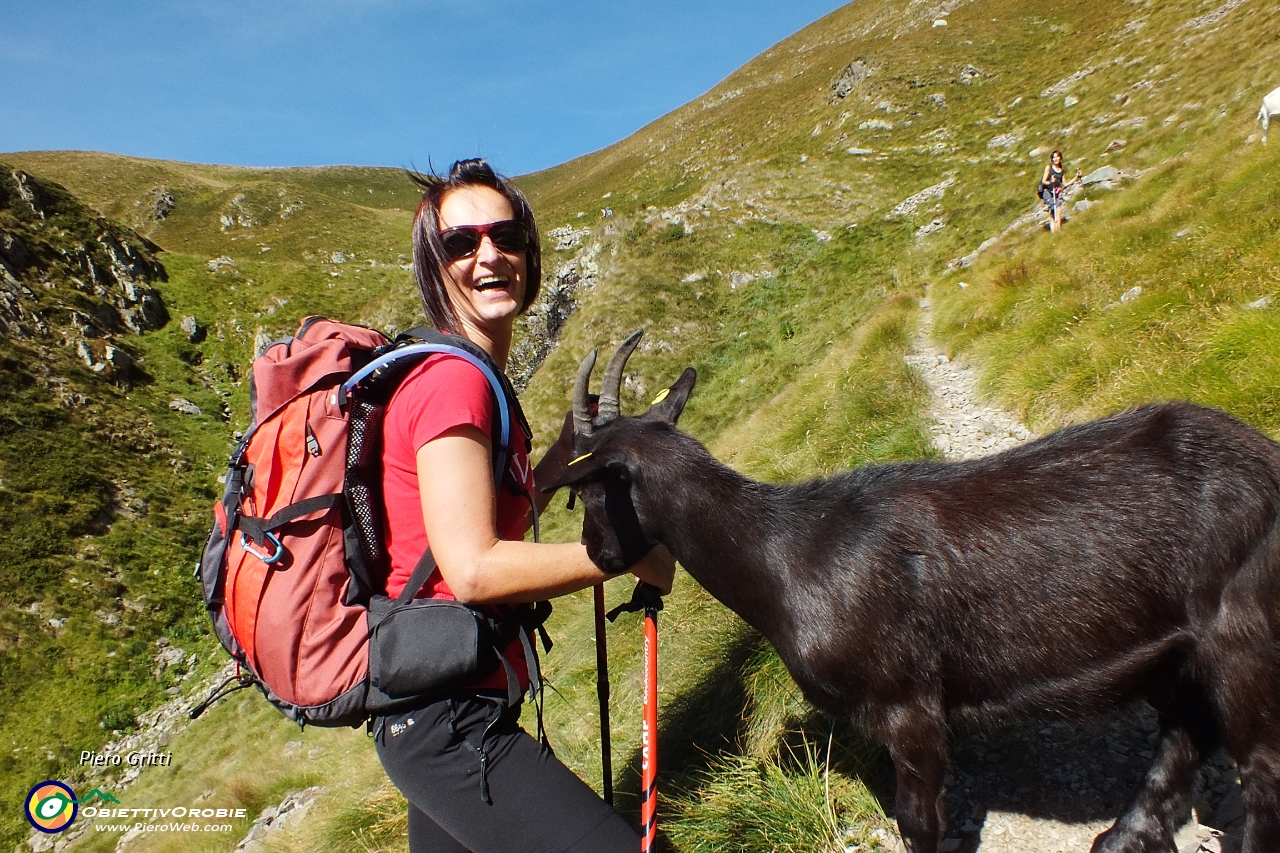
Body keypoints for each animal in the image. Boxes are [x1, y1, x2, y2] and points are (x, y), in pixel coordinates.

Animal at [550, 335, 1280, 850]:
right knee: (1185, 731)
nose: (595, 552)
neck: (785, 553)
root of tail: (1267, 461)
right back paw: (1125, 837)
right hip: (1171, 650)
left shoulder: (909, 705)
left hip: (1241, 632)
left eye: (590, 489)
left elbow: (917, 821)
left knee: (1260, 766)